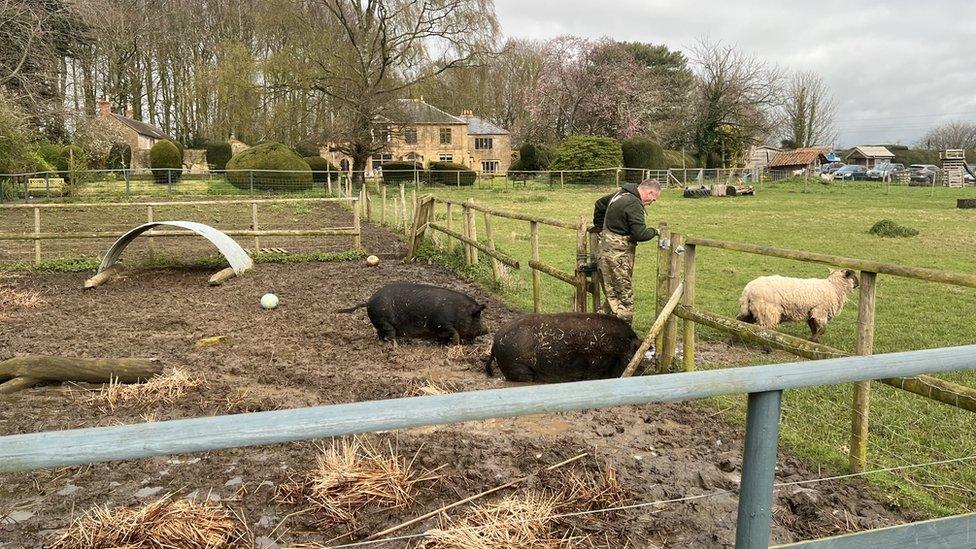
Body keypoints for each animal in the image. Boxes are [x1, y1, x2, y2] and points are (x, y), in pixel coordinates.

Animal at [340, 284, 488, 344]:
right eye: (477, 315)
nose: (487, 329)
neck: (458, 311)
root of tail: (368, 302)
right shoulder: (441, 323)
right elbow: (455, 333)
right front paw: (456, 344)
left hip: (379, 323)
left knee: (380, 333)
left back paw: (384, 342)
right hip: (385, 321)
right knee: (390, 334)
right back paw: (395, 346)